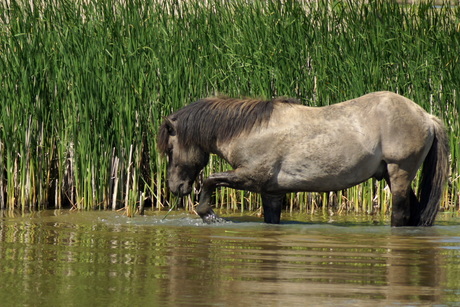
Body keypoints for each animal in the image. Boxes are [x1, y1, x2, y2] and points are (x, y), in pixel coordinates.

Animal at [158, 91, 450, 226]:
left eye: (170, 149)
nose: (175, 187)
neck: (251, 130)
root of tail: (425, 116)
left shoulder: (250, 178)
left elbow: (209, 180)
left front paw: (209, 214)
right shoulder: (272, 192)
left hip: (400, 172)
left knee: (401, 214)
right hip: (392, 175)